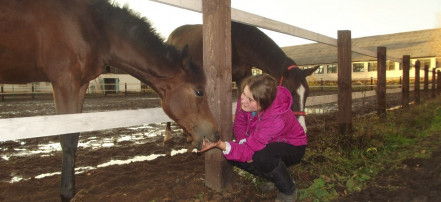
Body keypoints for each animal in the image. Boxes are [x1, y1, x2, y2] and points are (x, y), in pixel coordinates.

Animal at [0, 0, 218, 200]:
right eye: (199, 92)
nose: (216, 133)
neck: (93, 27)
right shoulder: (65, 80)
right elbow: (67, 138)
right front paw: (67, 193)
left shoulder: (80, 84)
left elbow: (74, 136)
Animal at [165, 22, 316, 141]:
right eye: (290, 93)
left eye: (307, 94)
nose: (303, 128)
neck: (237, 43)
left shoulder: (243, 78)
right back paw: (168, 135)